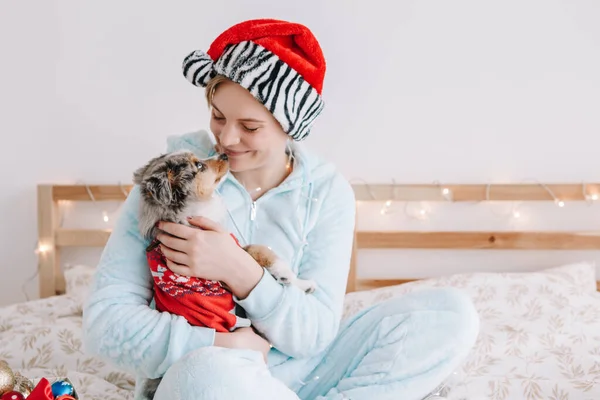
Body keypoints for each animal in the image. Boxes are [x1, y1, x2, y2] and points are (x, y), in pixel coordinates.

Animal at [133, 150, 316, 400]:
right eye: (199, 166)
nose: (223, 154)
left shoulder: (233, 247)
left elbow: (260, 249)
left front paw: (302, 283)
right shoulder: (233, 255)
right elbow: (262, 251)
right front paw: (291, 277)